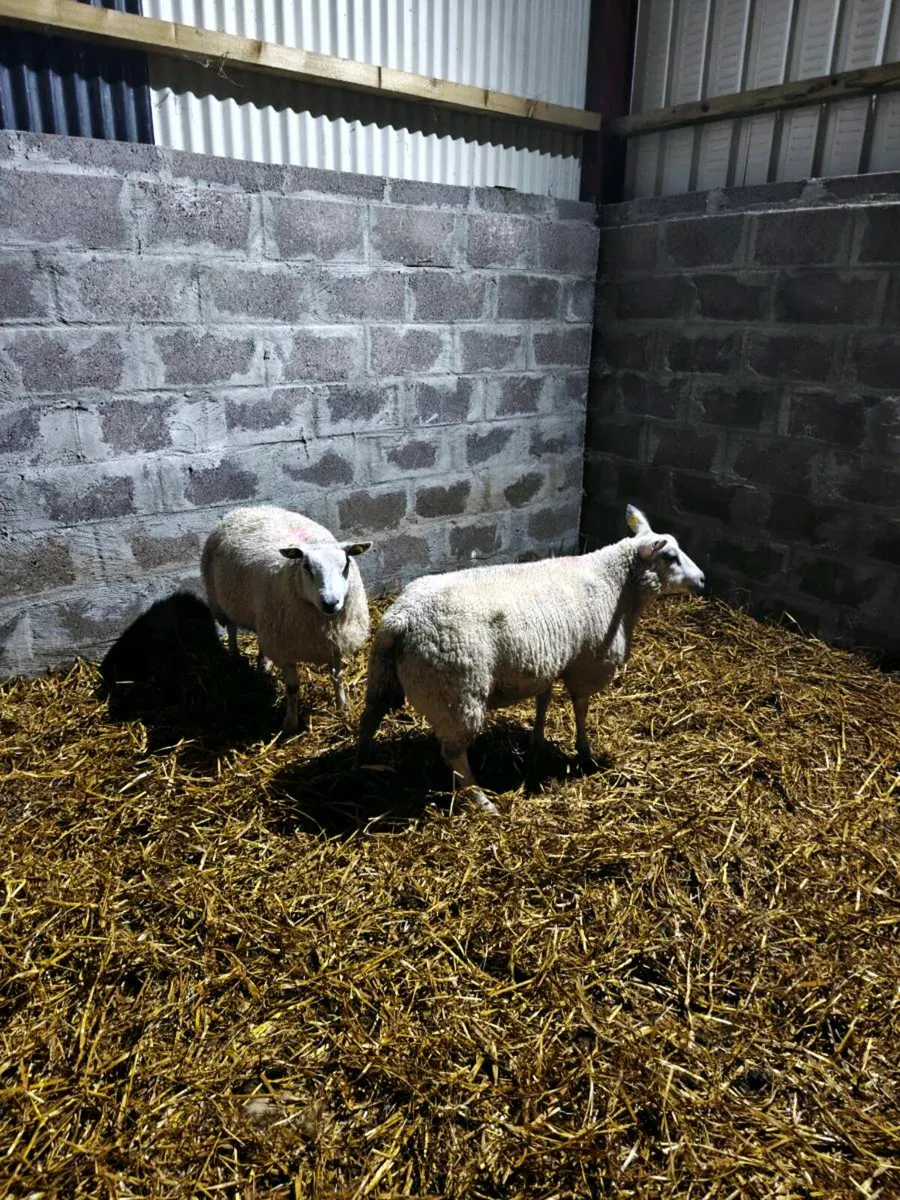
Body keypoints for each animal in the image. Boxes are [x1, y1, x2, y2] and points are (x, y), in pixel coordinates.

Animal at [201, 505, 372, 733]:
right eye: (306, 566)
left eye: (345, 565)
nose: (330, 603)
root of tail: (249, 508)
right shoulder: (286, 649)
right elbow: (292, 688)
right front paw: (290, 722)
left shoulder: (335, 641)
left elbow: (338, 677)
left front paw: (342, 706)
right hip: (222, 602)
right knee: (232, 629)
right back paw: (234, 656)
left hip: (265, 618)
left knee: (261, 639)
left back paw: (264, 664)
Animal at [356, 504, 704, 812]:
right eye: (670, 557)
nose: (702, 579)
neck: (616, 582)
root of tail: (402, 620)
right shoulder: (587, 665)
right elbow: (580, 708)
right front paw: (584, 751)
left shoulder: (547, 661)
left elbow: (544, 700)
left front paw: (537, 741)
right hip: (458, 690)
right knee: (453, 753)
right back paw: (480, 799)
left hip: (384, 677)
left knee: (369, 717)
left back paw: (362, 765)